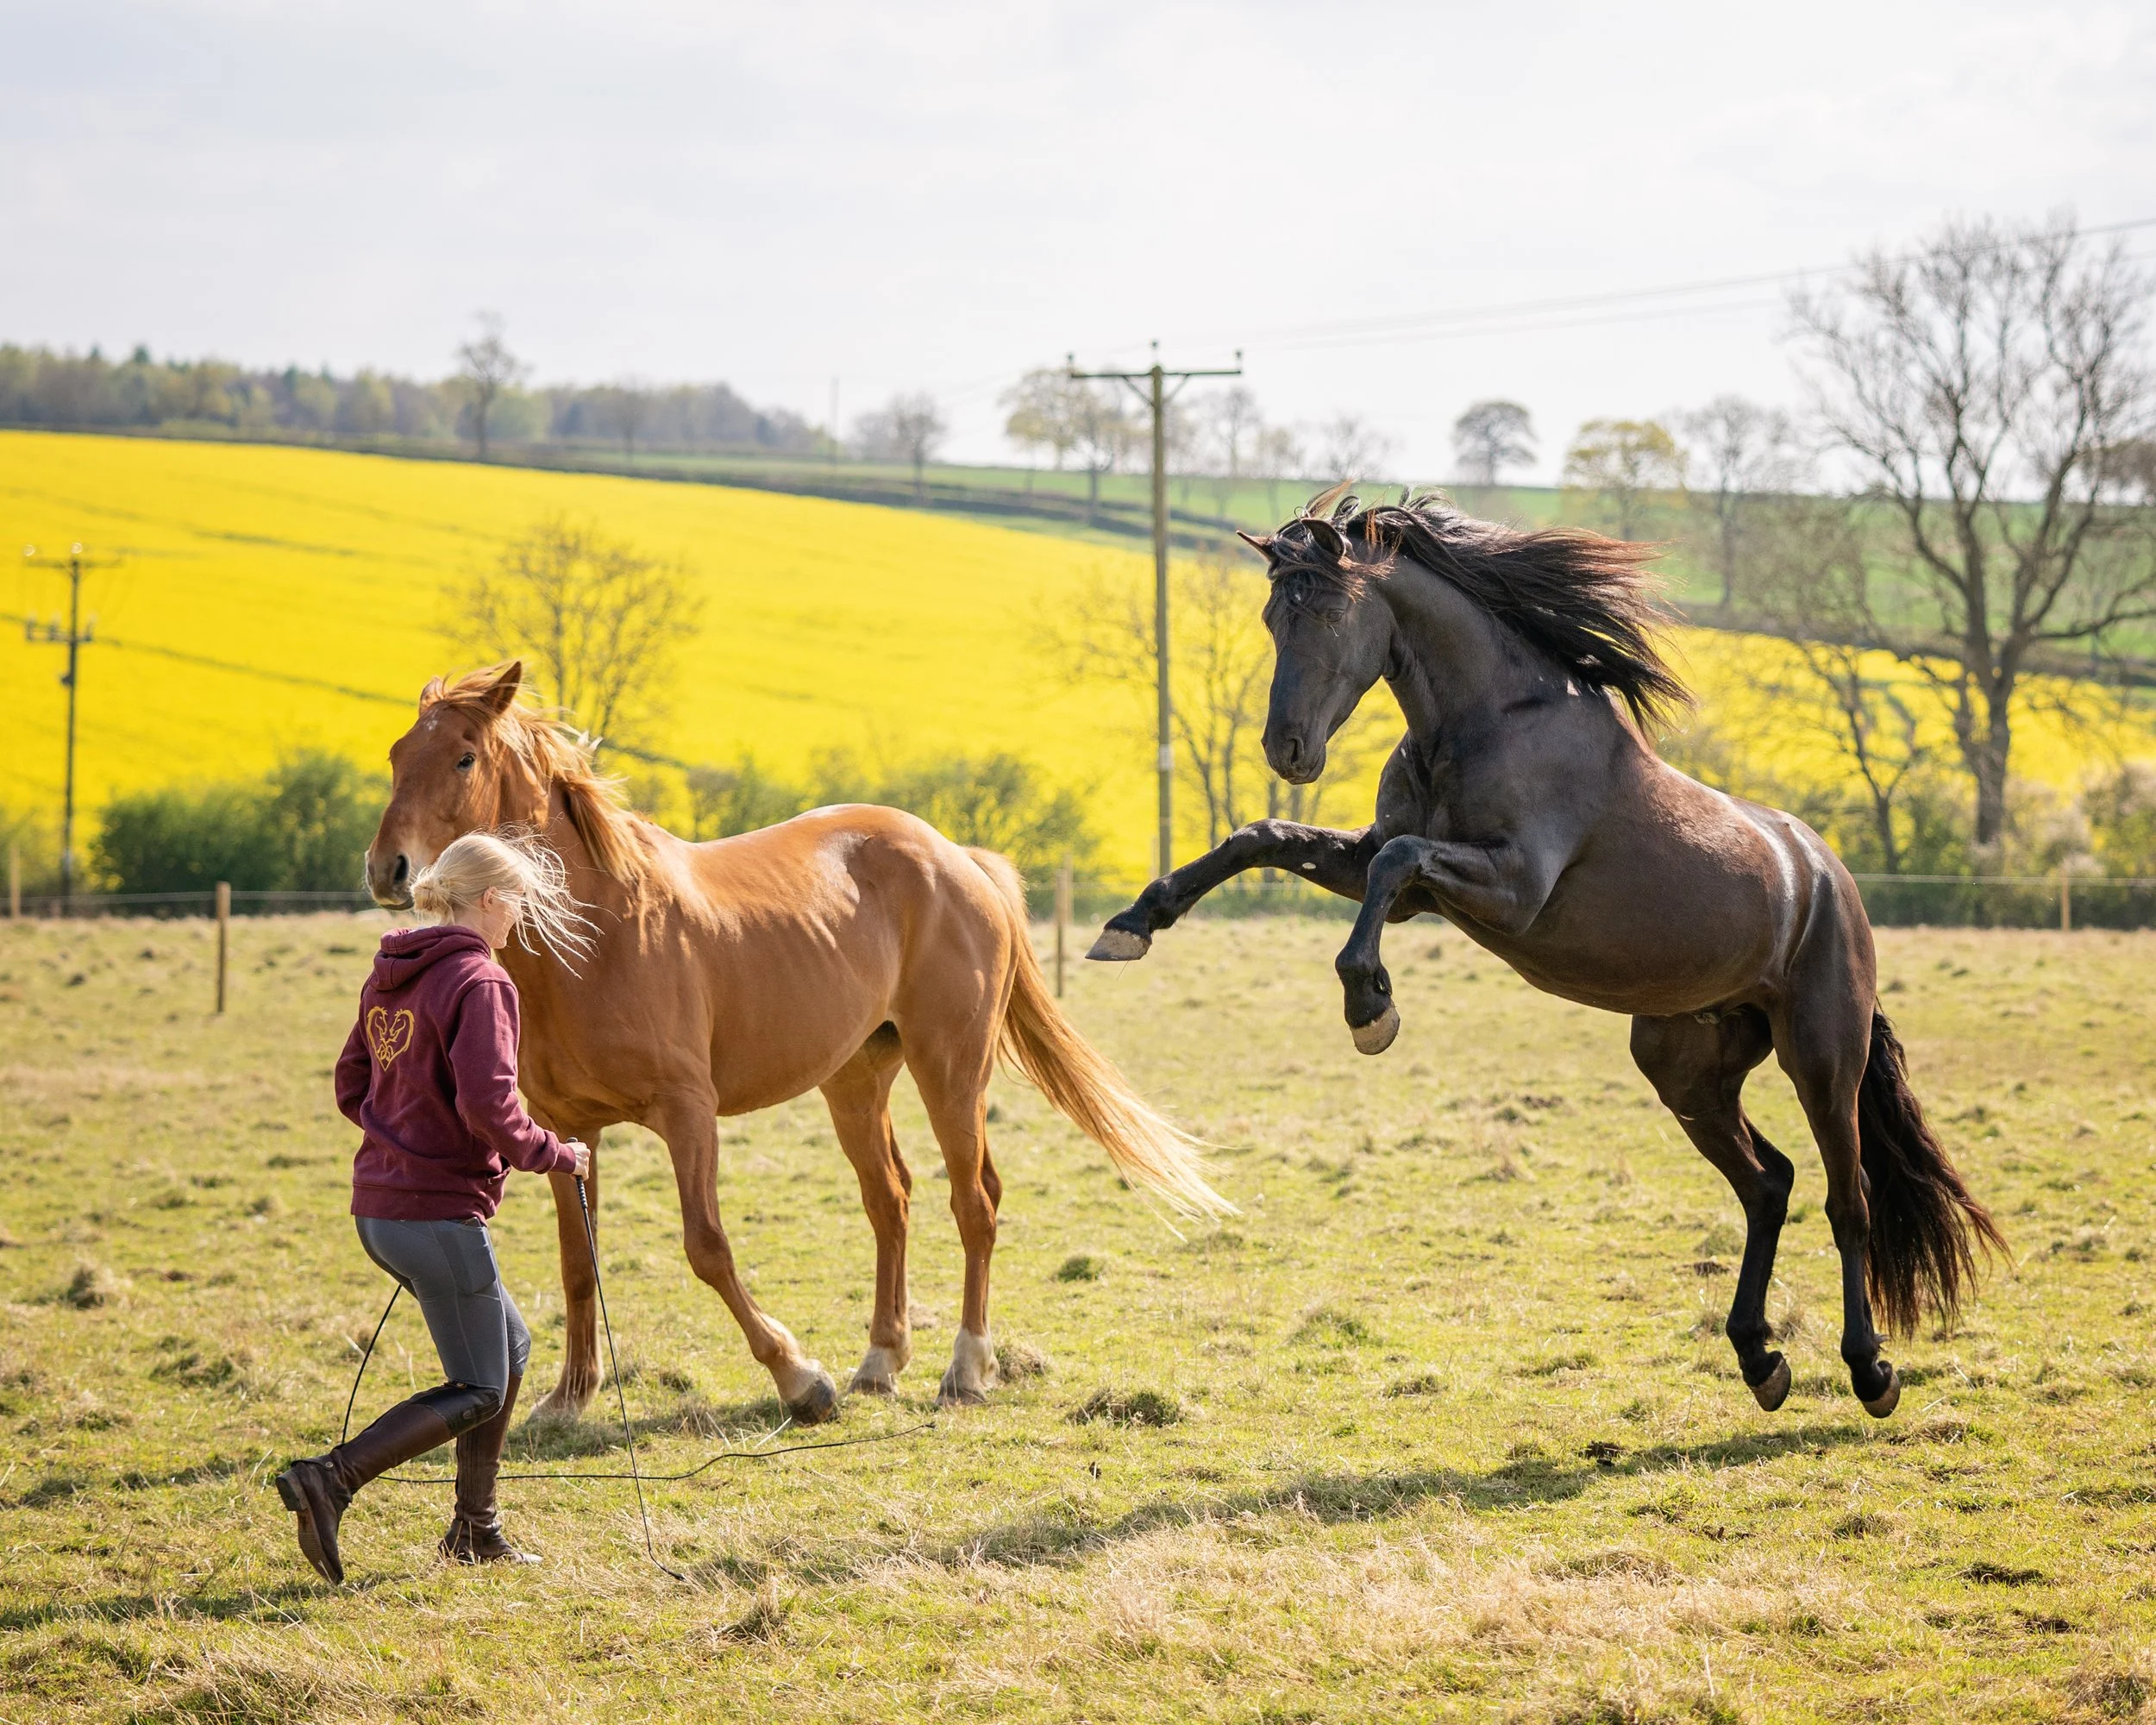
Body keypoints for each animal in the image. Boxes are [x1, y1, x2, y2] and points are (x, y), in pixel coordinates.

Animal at [363, 662, 1226, 1423]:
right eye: (397, 754)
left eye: (464, 756)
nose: (387, 869)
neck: (600, 933)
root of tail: (959, 858)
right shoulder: (564, 1130)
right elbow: (581, 1262)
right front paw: (571, 1396)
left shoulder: (688, 1115)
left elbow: (707, 1247)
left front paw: (798, 1377)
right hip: (854, 1081)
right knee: (891, 1202)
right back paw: (881, 1360)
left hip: (950, 1069)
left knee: (973, 1202)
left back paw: (965, 1367)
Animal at [1090, 488, 2003, 1420]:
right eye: (1276, 616)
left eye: (1333, 611)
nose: (1288, 750)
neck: (1484, 723)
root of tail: (1828, 881)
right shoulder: (1399, 875)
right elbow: (1266, 838)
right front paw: (1133, 923)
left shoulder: (1509, 886)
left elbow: (1393, 862)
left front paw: (1369, 1006)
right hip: (1686, 1068)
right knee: (1767, 1184)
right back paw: (1760, 1359)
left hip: (1821, 1055)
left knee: (1846, 1200)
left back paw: (1871, 1371)